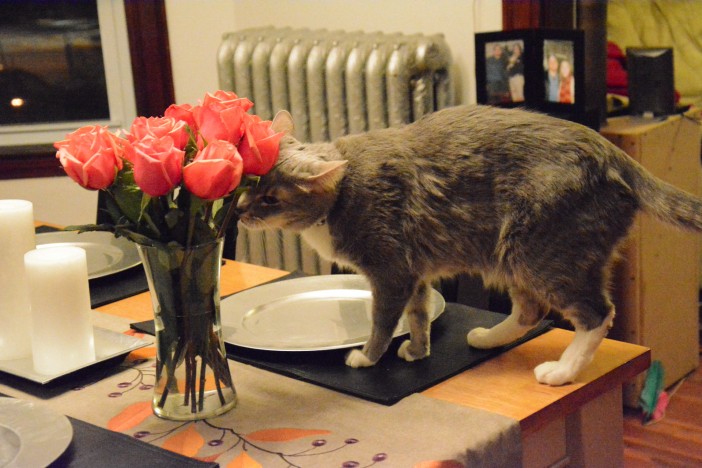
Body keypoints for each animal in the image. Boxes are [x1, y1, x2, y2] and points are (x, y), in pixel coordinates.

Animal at [238, 106, 702, 388]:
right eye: (248, 181)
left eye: (271, 199)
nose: (240, 210)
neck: (343, 193)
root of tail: (612, 152)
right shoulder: (415, 273)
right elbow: (419, 315)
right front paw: (418, 351)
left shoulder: (390, 271)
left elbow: (382, 321)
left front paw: (367, 358)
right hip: (515, 256)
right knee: (531, 309)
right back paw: (488, 338)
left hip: (541, 253)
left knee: (595, 313)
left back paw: (562, 370)